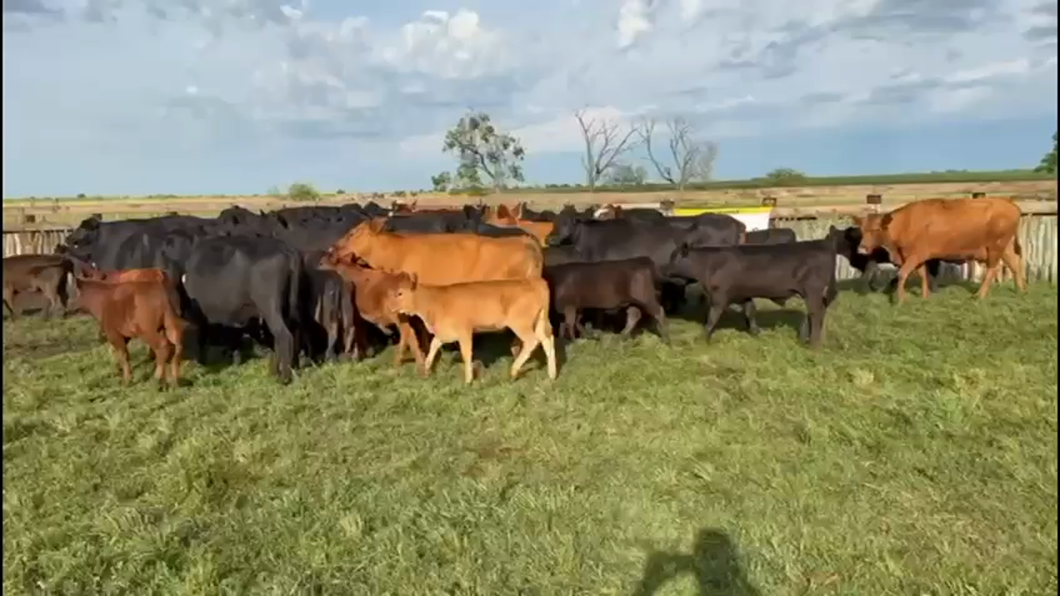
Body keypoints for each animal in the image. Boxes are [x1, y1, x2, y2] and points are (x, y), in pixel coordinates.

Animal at [388, 275, 558, 384]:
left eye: (400, 293)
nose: (390, 307)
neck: (436, 302)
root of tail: (535, 281)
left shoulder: (464, 330)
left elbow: (466, 353)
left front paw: (468, 380)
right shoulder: (444, 331)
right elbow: (433, 346)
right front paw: (426, 370)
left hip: (520, 323)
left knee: (532, 341)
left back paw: (513, 370)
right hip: (539, 321)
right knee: (547, 340)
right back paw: (552, 374)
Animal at [667, 233, 840, 347]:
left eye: (674, 257)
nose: (664, 269)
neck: (709, 264)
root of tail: (824, 244)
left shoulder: (719, 296)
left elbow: (712, 318)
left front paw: (702, 339)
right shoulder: (743, 295)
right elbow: (750, 311)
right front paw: (756, 332)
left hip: (813, 292)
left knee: (815, 313)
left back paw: (813, 344)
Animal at [852, 197, 1026, 304]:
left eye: (876, 229)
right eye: (862, 229)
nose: (862, 248)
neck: (905, 223)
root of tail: (1010, 204)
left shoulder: (915, 256)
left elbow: (902, 274)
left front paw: (901, 299)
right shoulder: (917, 257)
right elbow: (922, 275)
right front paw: (925, 296)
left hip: (995, 247)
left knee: (992, 269)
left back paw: (979, 295)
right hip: (1004, 248)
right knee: (1015, 264)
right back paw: (1020, 290)